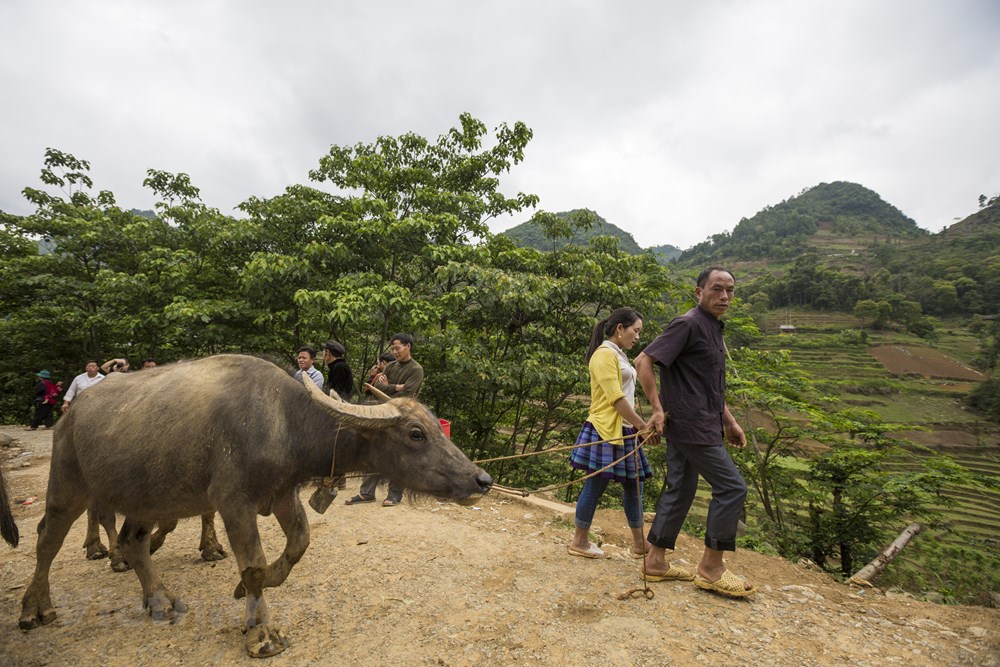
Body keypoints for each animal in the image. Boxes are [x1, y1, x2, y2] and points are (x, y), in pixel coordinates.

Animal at [17, 354, 490, 656]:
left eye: (437, 427)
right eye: (415, 433)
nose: (481, 480)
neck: (284, 423)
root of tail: (71, 412)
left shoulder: (281, 495)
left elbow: (298, 544)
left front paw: (247, 589)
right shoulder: (234, 503)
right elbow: (254, 562)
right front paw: (260, 631)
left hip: (144, 496)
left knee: (135, 541)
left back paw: (159, 599)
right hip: (67, 484)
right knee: (47, 539)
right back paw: (35, 608)